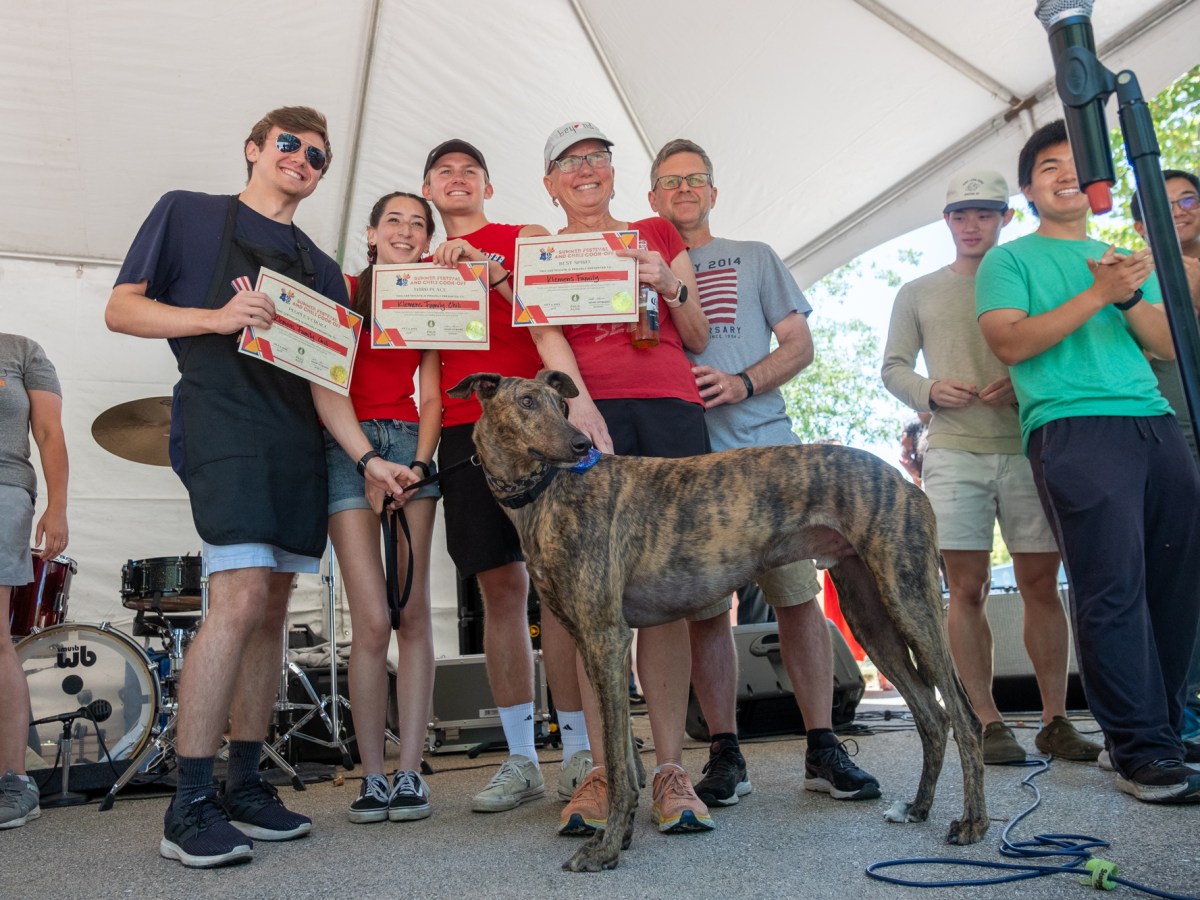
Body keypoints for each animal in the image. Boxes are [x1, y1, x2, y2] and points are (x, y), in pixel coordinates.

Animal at [448, 369, 984, 868]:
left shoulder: (606, 636)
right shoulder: (595, 642)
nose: (582, 444)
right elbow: (624, 757)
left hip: (909, 600)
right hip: (868, 614)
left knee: (963, 716)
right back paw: (918, 808)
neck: (549, 492)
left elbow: (621, 766)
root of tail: (903, 481)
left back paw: (972, 824)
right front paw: (620, 836)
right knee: (933, 715)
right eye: (526, 401)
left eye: (561, 404)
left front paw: (605, 850)